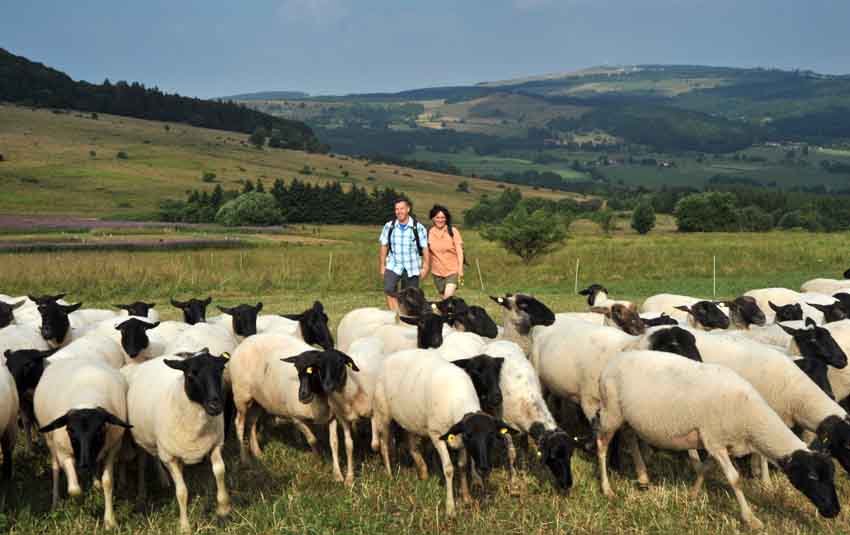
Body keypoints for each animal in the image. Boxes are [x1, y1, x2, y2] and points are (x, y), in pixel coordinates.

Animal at [33, 358, 131, 528]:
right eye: (70, 430)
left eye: (100, 429)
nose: (84, 464)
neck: (87, 397)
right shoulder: (64, 453)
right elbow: (74, 489)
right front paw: (81, 501)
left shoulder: (112, 448)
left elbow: (108, 482)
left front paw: (110, 521)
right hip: (51, 443)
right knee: (55, 469)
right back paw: (55, 502)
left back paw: (96, 483)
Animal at [124, 352, 230, 532]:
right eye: (191, 375)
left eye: (220, 370)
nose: (215, 406)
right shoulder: (169, 457)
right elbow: (181, 492)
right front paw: (185, 526)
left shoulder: (215, 445)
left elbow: (220, 472)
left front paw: (223, 509)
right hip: (142, 440)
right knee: (143, 464)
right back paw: (142, 495)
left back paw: (164, 480)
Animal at [592, 350, 840, 528]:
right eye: (812, 476)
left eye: (832, 476)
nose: (835, 511)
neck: (751, 417)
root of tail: (611, 363)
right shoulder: (715, 442)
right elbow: (734, 479)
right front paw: (751, 519)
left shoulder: (716, 443)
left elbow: (704, 468)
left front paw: (692, 496)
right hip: (611, 411)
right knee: (601, 444)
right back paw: (607, 489)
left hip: (626, 416)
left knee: (629, 437)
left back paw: (643, 477)